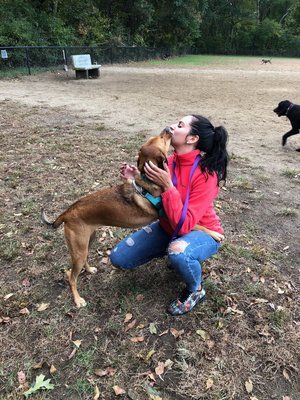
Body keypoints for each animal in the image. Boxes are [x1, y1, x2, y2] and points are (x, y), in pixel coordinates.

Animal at [41, 128, 221, 306]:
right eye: (160, 139)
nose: (169, 128)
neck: (149, 182)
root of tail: (67, 212)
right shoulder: (172, 218)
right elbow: (196, 224)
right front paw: (215, 234)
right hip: (79, 249)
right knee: (71, 277)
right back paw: (78, 300)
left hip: (87, 241)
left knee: (80, 264)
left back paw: (90, 270)